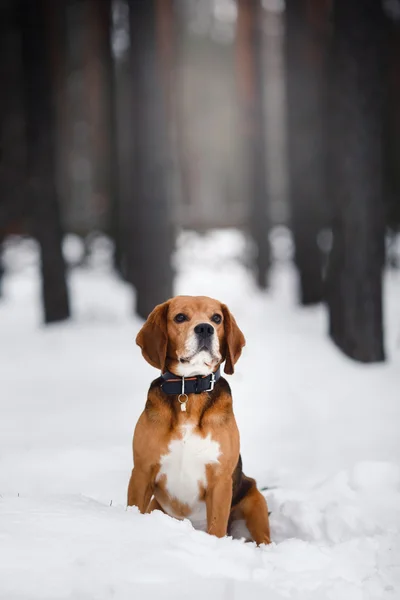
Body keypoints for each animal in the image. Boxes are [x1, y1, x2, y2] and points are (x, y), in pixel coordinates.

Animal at [128, 296, 272, 544]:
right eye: (180, 317)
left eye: (217, 318)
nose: (205, 328)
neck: (189, 389)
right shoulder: (141, 471)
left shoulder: (220, 482)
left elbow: (216, 527)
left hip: (255, 503)